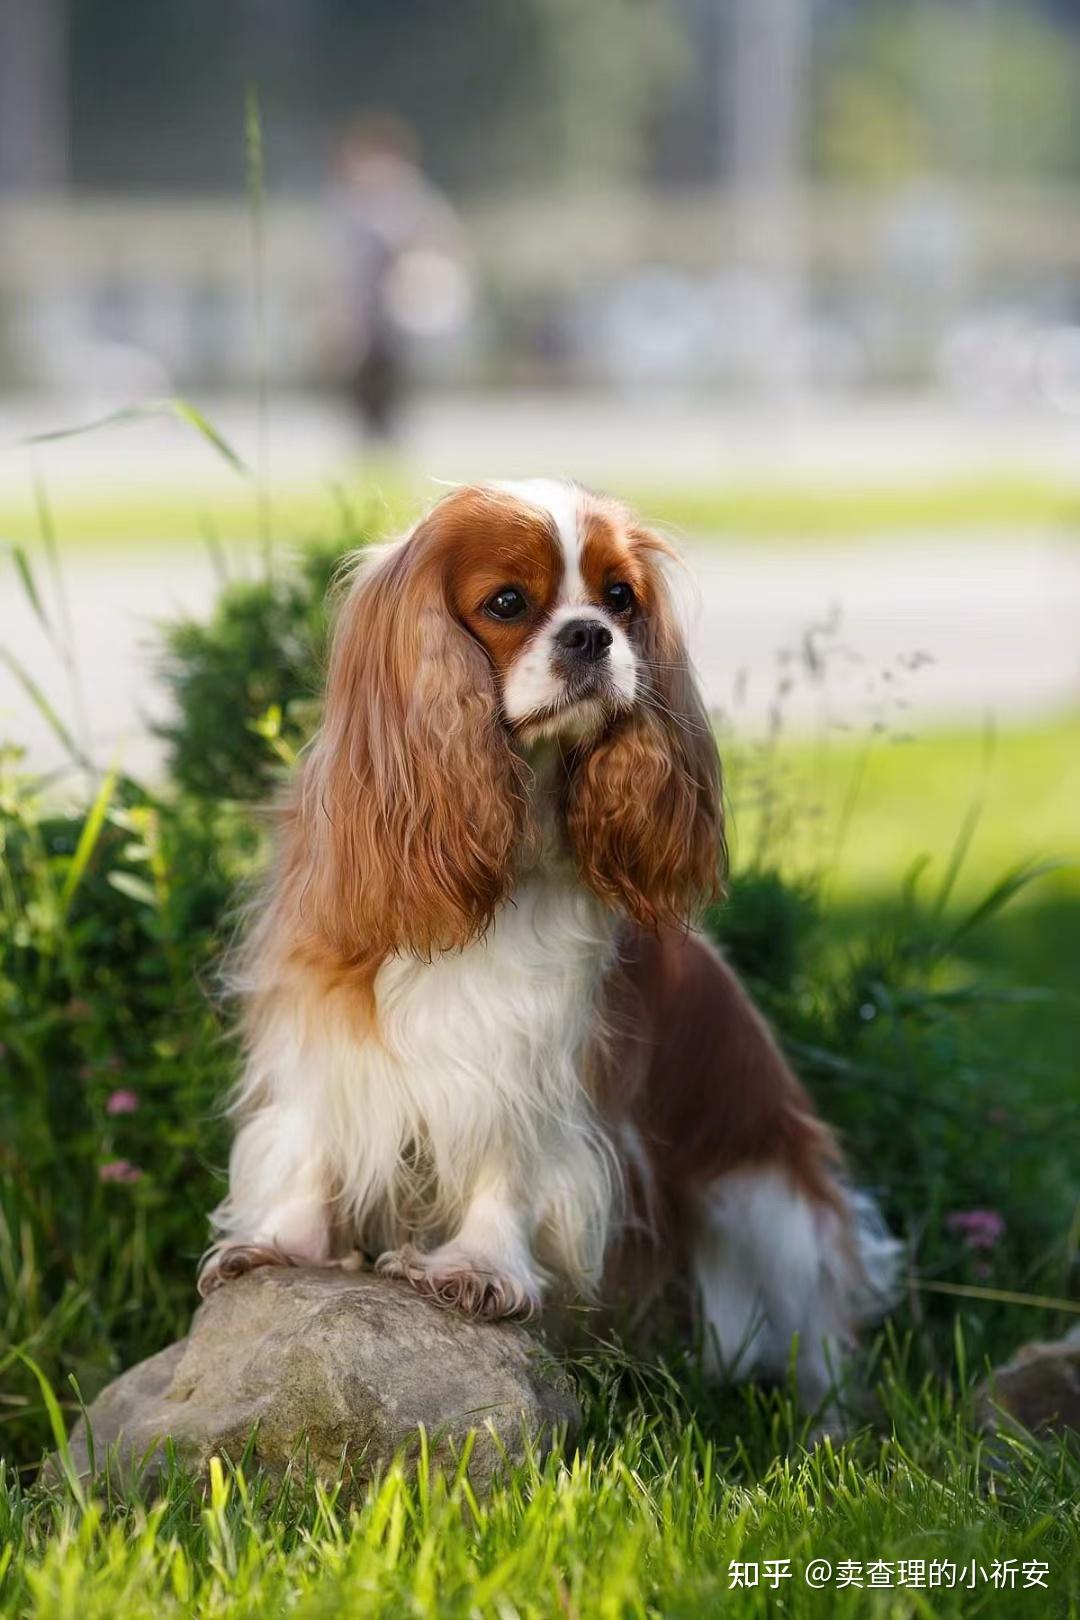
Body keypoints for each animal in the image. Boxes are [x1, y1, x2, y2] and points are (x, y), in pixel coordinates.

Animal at [200, 476, 893, 1406]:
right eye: (507, 603)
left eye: (620, 598)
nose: (590, 634)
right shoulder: (318, 1007)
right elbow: (312, 1131)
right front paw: (283, 1245)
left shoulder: (531, 1047)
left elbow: (509, 1158)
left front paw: (480, 1268)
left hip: (767, 1210)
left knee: (815, 1345)